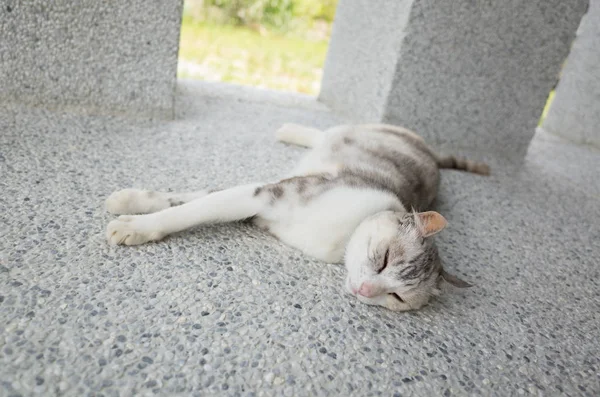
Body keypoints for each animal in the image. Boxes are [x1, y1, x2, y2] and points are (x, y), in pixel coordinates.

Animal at [105, 123, 490, 310]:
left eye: (396, 297)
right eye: (383, 259)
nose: (366, 290)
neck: (342, 237)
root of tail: (432, 153)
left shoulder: (261, 202)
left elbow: (197, 200)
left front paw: (133, 209)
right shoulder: (265, 193)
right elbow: (191, 206)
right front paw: (135, 216)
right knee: (329, 131)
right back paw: (290, 130)